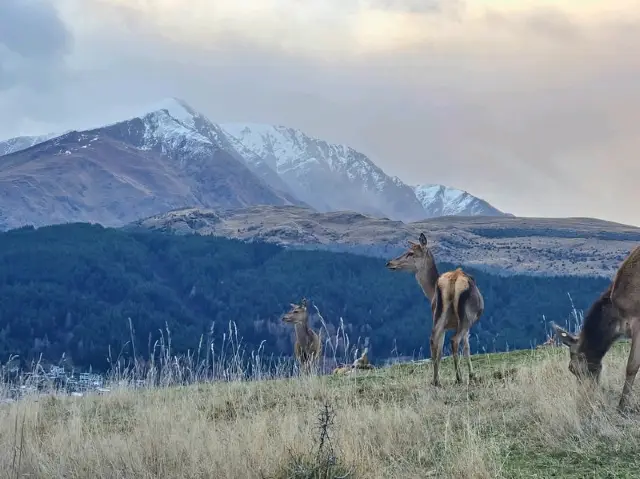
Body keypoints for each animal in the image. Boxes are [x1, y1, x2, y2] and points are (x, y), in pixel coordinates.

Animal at [386, 232, 484, 387]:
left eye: (410, 252)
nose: (389, 263)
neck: (430, 292)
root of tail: (453, 280)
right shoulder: (466, 325)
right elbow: (467, 347)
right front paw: (472, 375)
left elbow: (440, 350)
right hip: (466, 318)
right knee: (454, 340)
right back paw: (459, 378)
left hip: (439, 315)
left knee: (433, 339)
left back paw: (436, 380)